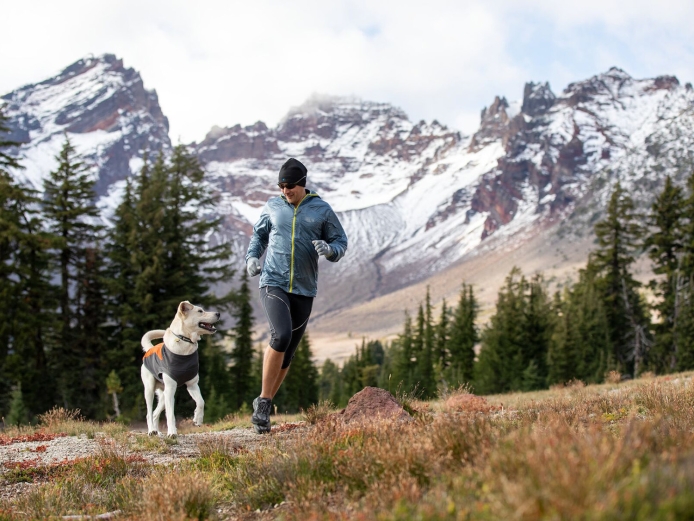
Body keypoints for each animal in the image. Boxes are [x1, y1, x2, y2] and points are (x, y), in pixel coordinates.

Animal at [140, 298, 219, 436]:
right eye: (200, 311)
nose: (218, 313)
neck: (185, 342)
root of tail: (150, 349)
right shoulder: (171, 389)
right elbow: (171, 415)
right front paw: (172, 433)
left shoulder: (192, 384)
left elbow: (201, 402)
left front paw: (197, 419)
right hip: (150, 389)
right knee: (149, 413)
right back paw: (151, 431)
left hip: (163, 395)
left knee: (155, 413)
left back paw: (158, 432)